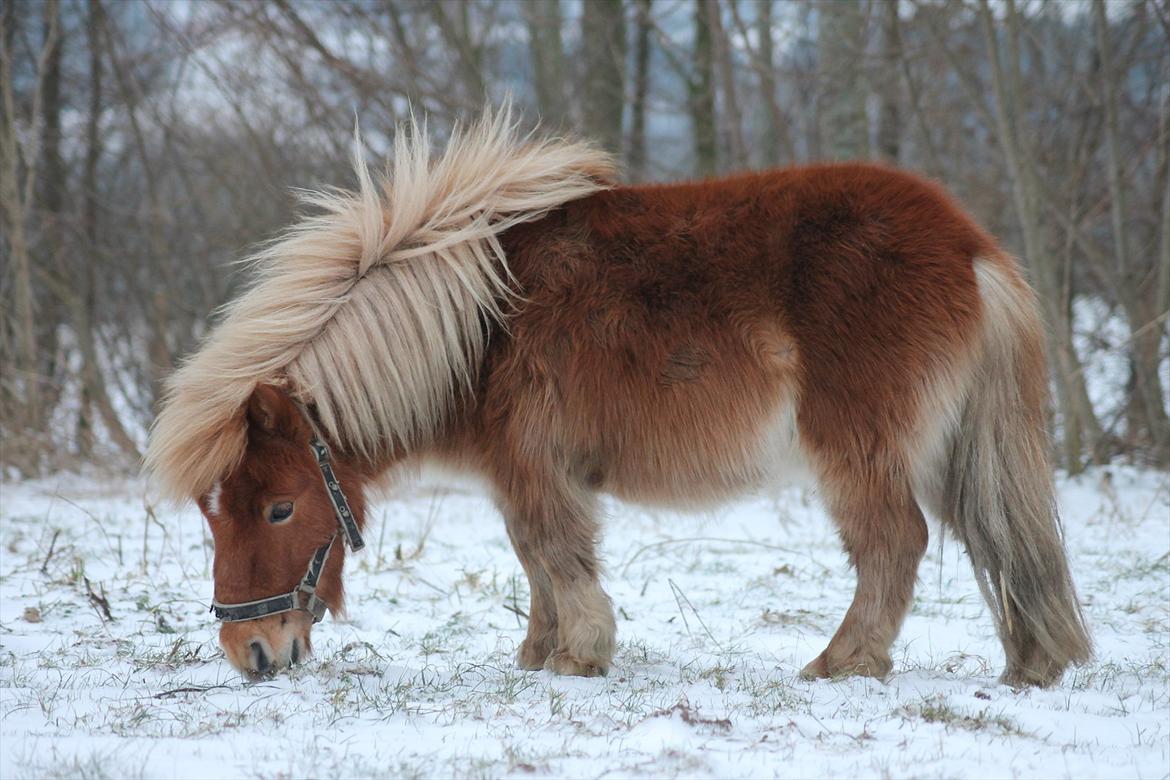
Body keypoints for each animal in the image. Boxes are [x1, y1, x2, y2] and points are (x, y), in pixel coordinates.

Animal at [143, 108, 1085, 682]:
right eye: (211, 516)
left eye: (278, 510)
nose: (250, 649)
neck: (476, 327)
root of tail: (971, 249)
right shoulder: (519, 472)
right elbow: (531, 558)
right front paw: (540, 651)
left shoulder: (536, 467)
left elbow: (554, 551)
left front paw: (580, 655)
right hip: (948, 450)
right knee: (993, 541)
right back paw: (1030, 664)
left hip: (859, 448)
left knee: (896, 543)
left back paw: (842, 663)